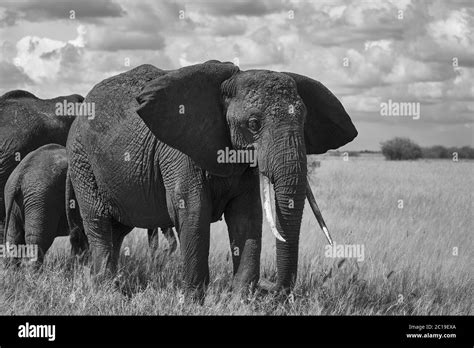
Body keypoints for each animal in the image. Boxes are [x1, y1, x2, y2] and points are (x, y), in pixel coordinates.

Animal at [65, 59, 356, 300]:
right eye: (253, 124)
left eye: (305, 122)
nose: (268, 288)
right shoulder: (179, 151)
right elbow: (193, 210)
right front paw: (193, 302)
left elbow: (246, 216)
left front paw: (240, 302)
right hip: (81, 160)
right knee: (99, 222)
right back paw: (108, 293)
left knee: (117, 230)